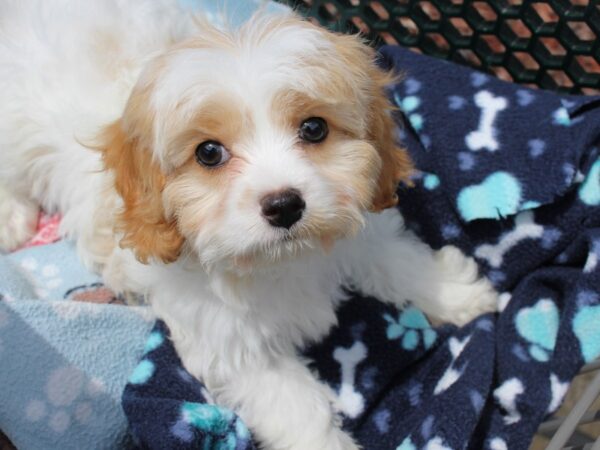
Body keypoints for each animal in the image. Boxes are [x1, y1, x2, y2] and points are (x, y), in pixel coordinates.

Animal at [0, 1, 496, 448]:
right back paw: (10, 220)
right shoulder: (235, 346)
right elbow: (298, 408)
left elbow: (398, 260)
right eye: (209, 153)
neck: (280, 260)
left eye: (314, 128)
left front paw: (460, 294)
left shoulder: (360, 223)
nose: (284, 205)